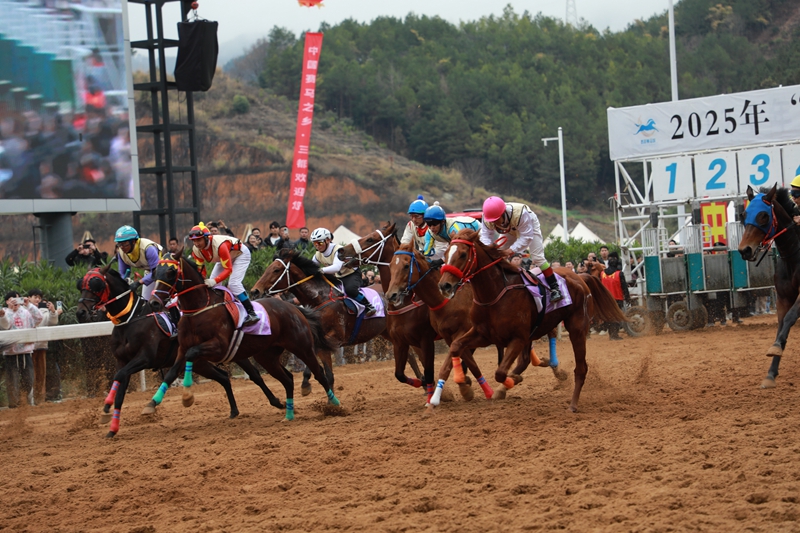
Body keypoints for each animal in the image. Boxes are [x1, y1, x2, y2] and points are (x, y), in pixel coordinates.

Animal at [76, 265, 284, 438]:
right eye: (80, 284)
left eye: (95, 284)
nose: (80, 312)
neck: (131, 319)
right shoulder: (122, 361)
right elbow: (120, 390)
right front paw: (111, 427)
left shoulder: (145, 358)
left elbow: (119, 376)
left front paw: (106, 410)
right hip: (200, 363)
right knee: (224, 377)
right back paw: (234, 411)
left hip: (233, 352)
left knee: (254, 374)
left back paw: (276, 401)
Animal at [148, 250, 340, 421]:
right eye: (155, 272)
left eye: (171, 272)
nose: (154, 302)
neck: (198, 309)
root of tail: (293, 307)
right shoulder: (182, 348)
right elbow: (172, 372)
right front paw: (152, 403)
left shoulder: (219, 346)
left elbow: (192, 353)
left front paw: (187, 396)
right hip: (267, 357)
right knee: (288, 379)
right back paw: (289, 414)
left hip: (302, 347)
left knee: (320, 374)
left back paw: (334, 405)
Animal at [250, 248, 387, 396]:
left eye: (276, 270)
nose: (254, 291)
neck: (320, 298)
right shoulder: (314, 339)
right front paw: (305, 383)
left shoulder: (333, 339)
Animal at [437, 229, 628, 411]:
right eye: (445, 253)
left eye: (463, 254)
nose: (444, 285)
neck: (495, 293)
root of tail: (581, 277)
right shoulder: (483, 334)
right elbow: (455, 346)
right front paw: (463, 384)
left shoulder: (517, 338)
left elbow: (500, 373)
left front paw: (510, 380)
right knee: (526, 359)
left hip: (577, 328)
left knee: (580, 368)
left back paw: (573, 404)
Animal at [738, 184, 800, 388]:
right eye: (744, 214)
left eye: (763, 215)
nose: (744, 250)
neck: (794, 257)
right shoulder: (782, 298)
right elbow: (781, 326)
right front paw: (771, 374)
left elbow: (789, 318)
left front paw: (776, 347)